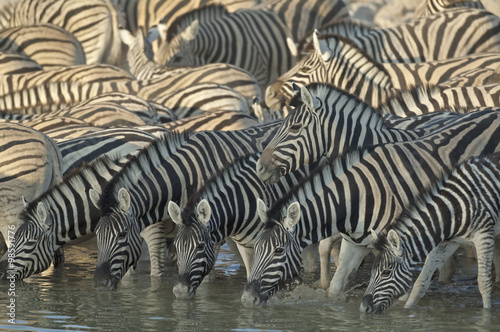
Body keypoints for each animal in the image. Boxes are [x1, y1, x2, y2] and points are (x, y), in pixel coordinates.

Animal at [362, 152, 500, 312]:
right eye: (372, 271)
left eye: (386, 272)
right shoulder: (449, 242)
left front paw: (487, 314)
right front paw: (406, 312)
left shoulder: (484, 235)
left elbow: (484, 283)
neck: (451, 212)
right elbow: (420, 283)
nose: (363, 308)